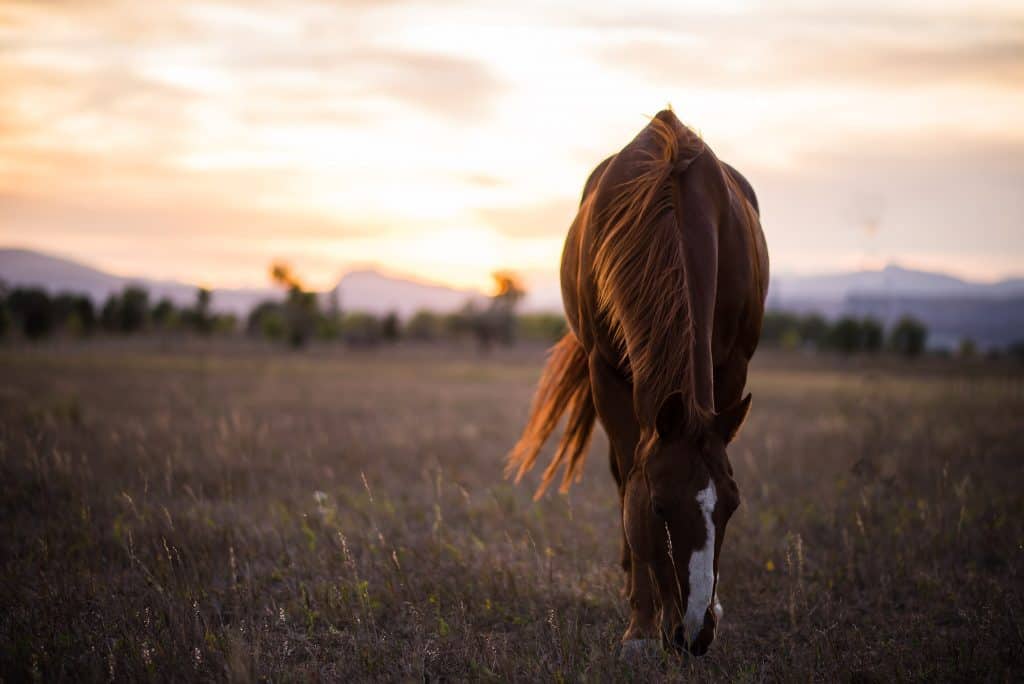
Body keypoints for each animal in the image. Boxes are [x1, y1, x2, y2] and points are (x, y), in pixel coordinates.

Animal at [507, 109, 765, 655]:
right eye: (660, 508)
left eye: (731, 508)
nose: (695, 635)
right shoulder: (605, 371)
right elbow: (629, 478)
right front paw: (641, 628)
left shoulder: (733, 367)